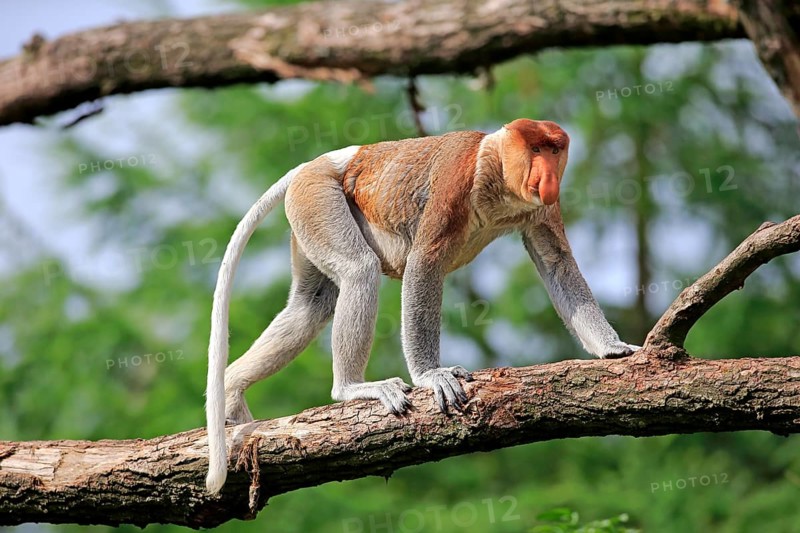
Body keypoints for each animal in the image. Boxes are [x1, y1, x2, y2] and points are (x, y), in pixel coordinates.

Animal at [205, 118, 639, 494]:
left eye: (554, 149)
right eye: (535, 149)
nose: (548, 175)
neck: (495, 166)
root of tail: (316, 163)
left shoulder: (541, 207)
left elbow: (557, 264)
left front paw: (614, 349)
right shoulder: (455, 178)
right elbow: (423, 264)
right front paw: (432, 377)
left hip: (307, 215)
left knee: (309, 306)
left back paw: (232, 387)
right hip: (317, 197)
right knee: (358, 271)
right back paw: (352, 388)